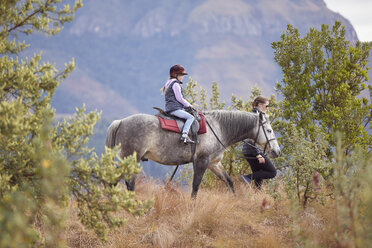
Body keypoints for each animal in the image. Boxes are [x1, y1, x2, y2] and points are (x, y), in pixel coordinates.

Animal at [104, 110, 280, 198]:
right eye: (269, 130)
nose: (276, 151)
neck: (219, 128)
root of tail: (121, 122)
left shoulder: (214, 163)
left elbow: (229, 182)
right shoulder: (201, 162)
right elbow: (196, 186)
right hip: (131, 159)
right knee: (123, 182)